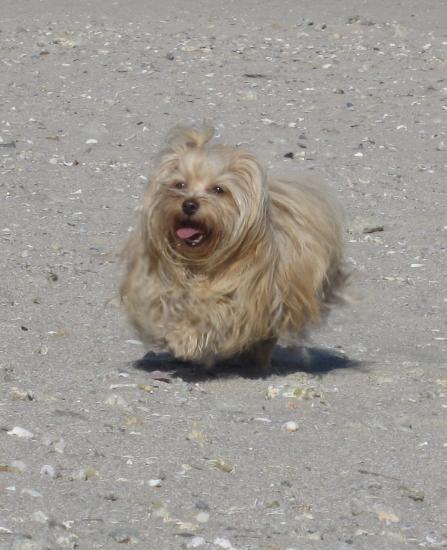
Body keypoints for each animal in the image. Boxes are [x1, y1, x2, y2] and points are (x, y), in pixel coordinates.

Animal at [120, 125, 346, 376]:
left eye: (218, 189)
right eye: (180, 185)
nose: (189, 204)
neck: (200, 261)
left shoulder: (243, 296)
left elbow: (216, 315)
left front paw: (185, 338)